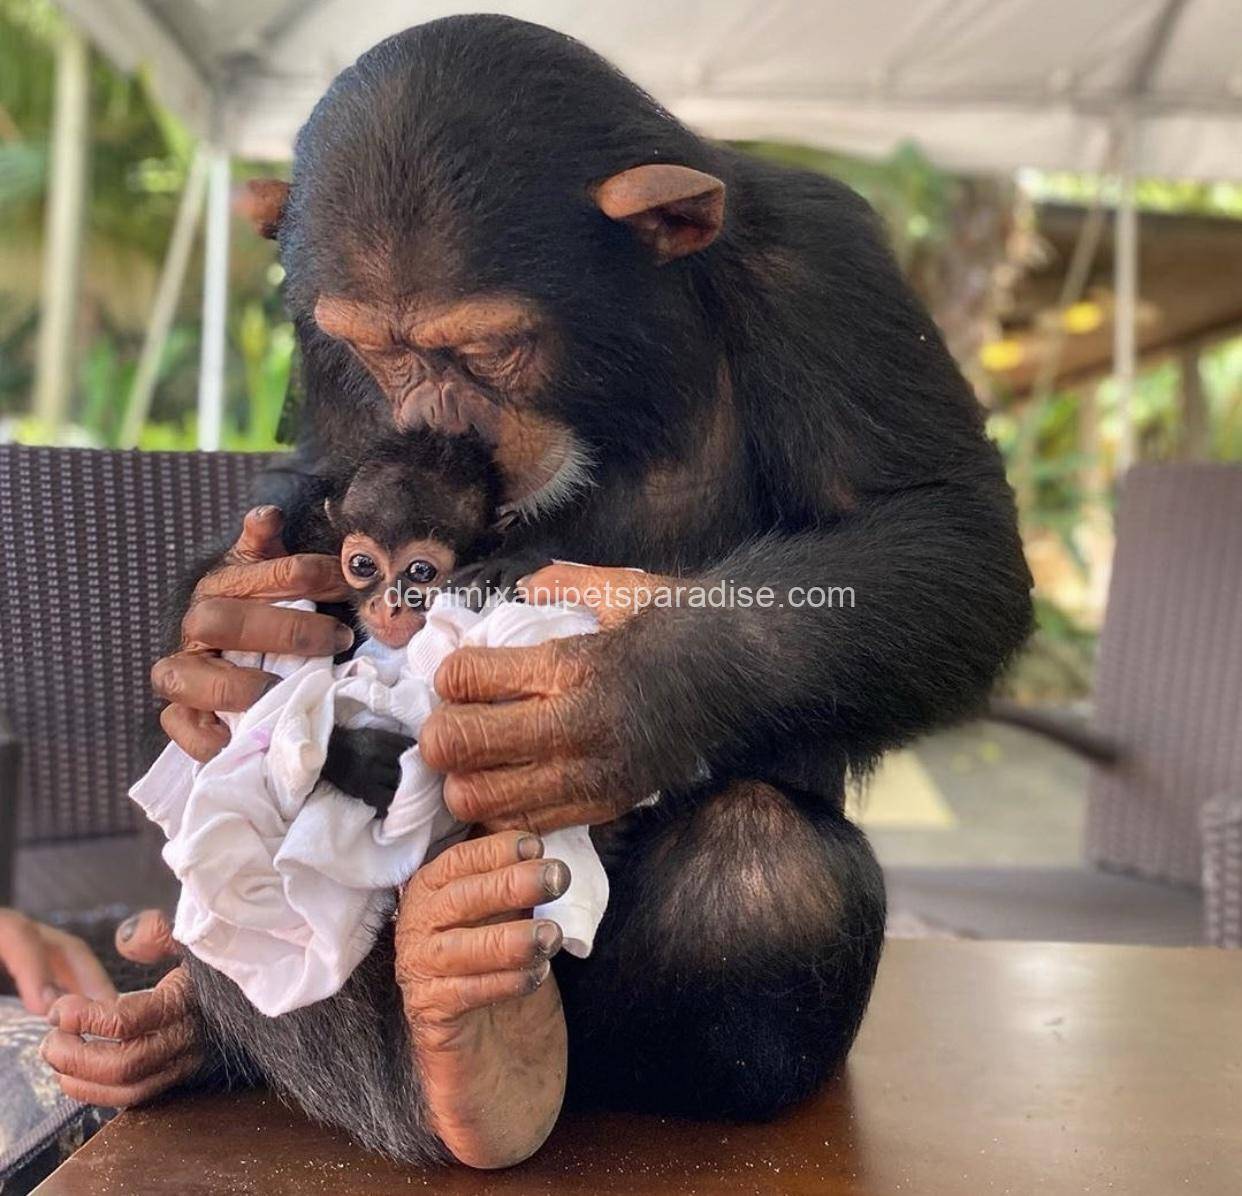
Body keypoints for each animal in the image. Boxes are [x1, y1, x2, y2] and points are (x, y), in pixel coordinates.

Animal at [72, 14, 1033, 1167]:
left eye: (490, 346)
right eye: (378, 350)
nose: (439, 415)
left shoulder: (825, 264)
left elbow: (943, 526)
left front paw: (614, 692)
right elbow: (323, 486)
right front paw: (216, 637)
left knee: (766, 875)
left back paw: (492, 1048)